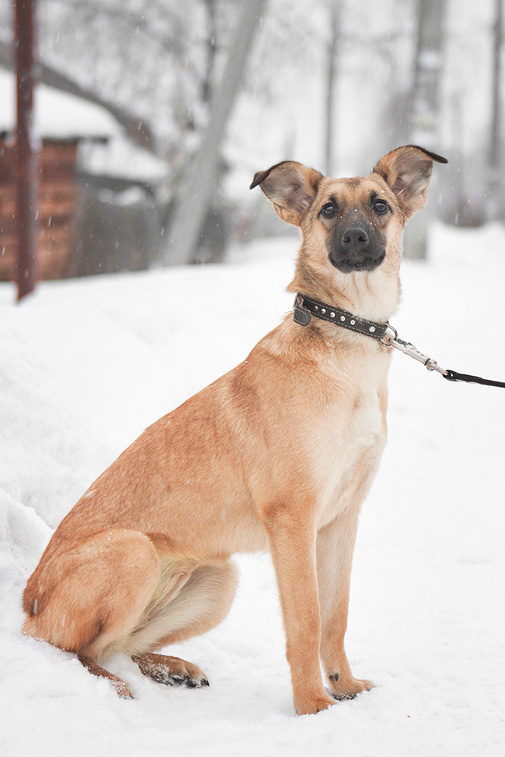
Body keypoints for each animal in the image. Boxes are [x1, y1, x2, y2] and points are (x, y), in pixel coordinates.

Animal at [23, 145, 447, 715]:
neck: (346, 343)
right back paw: (114, 686)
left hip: (218, 580)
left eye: (380, 205)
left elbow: (335, 616)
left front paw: (344, 686)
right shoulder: (293, 520)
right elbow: (307, 620)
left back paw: (170, 668)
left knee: (119, 645)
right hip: (131, 553)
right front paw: (313, 707)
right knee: (75, 650)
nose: (356, 239)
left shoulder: (342, 520)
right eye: (328, 211)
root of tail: (27, 602)